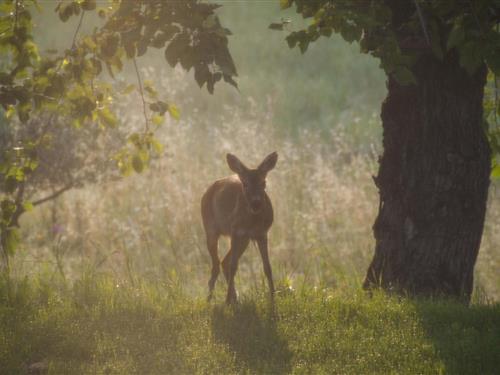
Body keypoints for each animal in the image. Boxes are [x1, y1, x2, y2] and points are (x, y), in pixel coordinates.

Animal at [201, 151, 280, 304]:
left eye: (264, 182)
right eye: (245, 184)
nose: (256, 203)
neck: (252, 222)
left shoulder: (262, 233)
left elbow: (267, 267)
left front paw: (273, 298)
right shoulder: (236, 231)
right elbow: (233, 266)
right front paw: (226, 302)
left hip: (245, 240)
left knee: (224, 262)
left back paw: (235, 298)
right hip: (211, 229)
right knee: (217, 265)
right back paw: (209, 299)